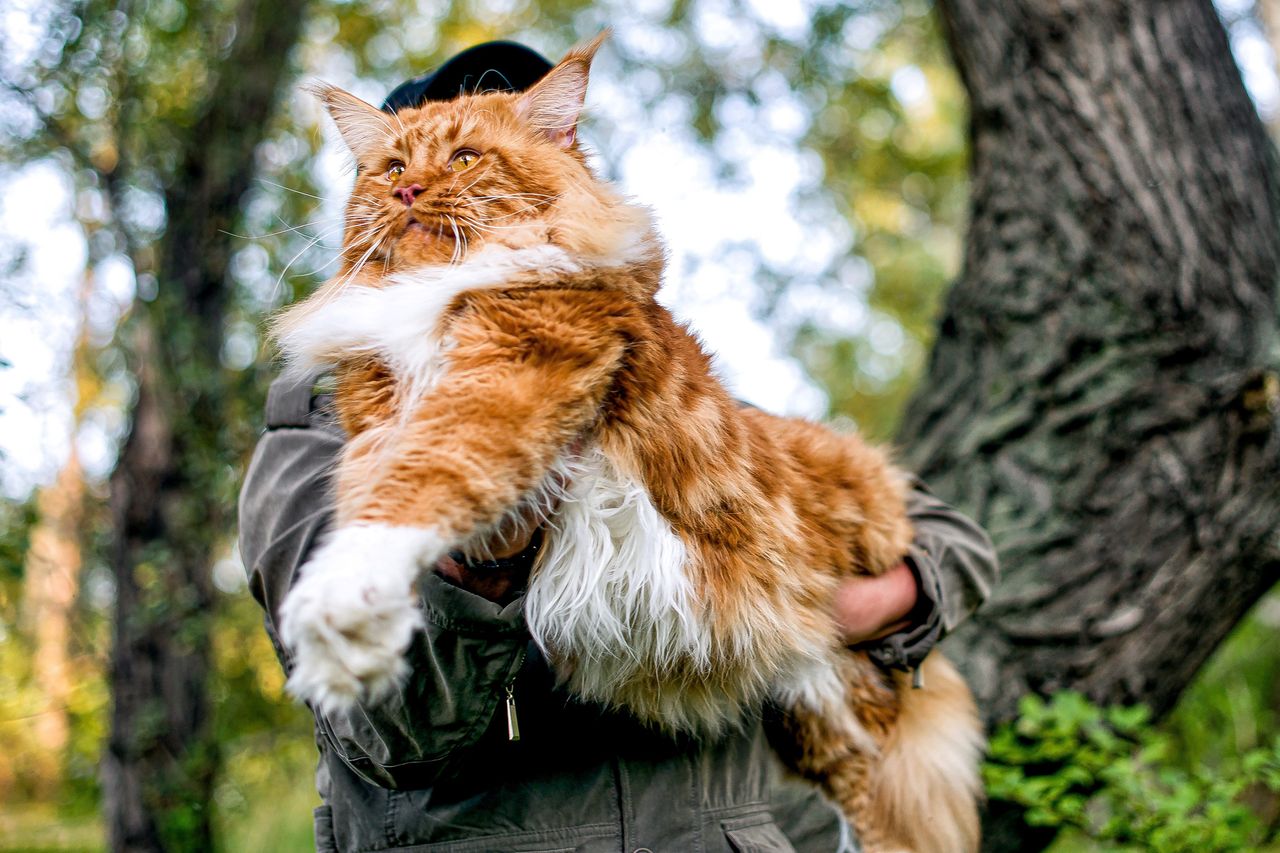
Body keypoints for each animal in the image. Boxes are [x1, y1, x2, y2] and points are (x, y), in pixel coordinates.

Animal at [275, 33, 983, 850]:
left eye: (464, 159)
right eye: (392, 168)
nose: (410, 194)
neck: (433, 295)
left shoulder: (510, 373)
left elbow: (418, 483)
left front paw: (338, 610)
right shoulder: (377, 411)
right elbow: (373, 493)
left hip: (859, 718)